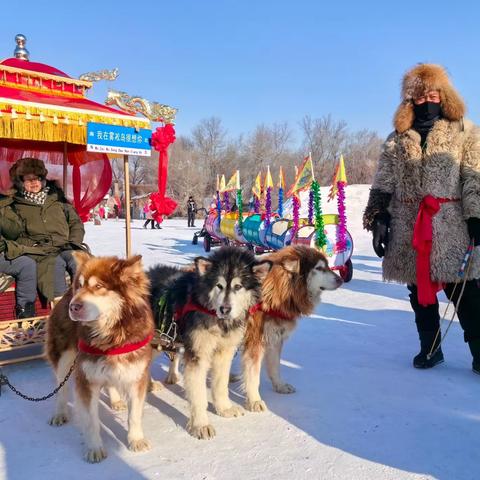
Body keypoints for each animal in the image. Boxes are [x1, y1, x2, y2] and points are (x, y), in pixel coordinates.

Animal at [45, 253, 154, 464]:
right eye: (79, 286)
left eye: (98, 286)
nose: (74, 307)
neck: (111, 337)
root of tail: (65, 296)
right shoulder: (86, 379)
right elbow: (91, 421)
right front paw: (95, 448)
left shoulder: (136, 376)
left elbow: (134, 415)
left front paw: (136, 440)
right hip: (64, 359)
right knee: (61, 389)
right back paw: (60, 413)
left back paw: (116, 400)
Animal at [147, 248, 270, 438]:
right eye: (219, 286)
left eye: (238, 286)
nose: (225, 309)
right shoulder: (198, 356)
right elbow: (198, 396)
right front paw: (200, 425)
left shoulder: (223, 353)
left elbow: (220, 384)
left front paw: (224, 408)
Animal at [244, 246, 342, 410]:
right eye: (319, 268)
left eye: (328, 266)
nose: (341, 280)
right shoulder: (255, 342)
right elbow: (252, 375)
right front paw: (254, 400)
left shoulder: (274, 339)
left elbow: (275, 366)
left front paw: (279, 386)